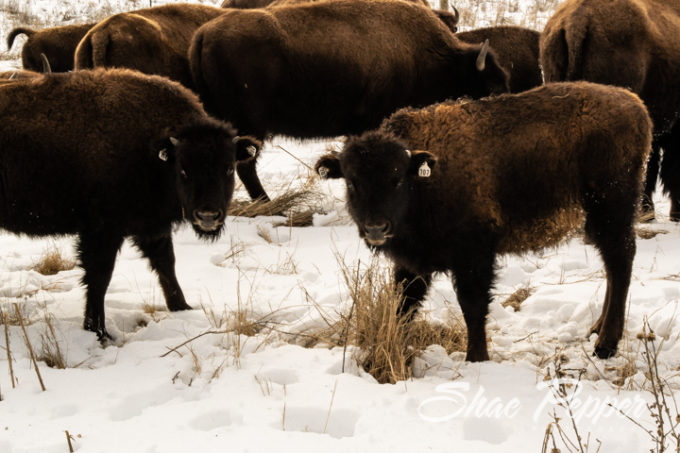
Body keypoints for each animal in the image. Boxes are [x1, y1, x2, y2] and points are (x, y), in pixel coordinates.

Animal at [0, 68, 260, 340]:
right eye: (183, 170)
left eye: (228, 168)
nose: (207, 215)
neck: (153, 151)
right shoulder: (103, 232)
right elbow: (100, 278)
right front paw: (99, 331)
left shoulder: (152, 226)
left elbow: (166, 264)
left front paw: (183, 308)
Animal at [316, 81, 652, 362]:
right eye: (352, 181)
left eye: (396, 178)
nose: (376, 227)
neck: (424, 178)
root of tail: (636, 105)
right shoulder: (412, 264)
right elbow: (404, 304)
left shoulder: (474, 255)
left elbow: (472, 306)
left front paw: (477, 358)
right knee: (612, 266)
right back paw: (596, 329)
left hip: (611, 210)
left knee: (620, 262)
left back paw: (606, 345)